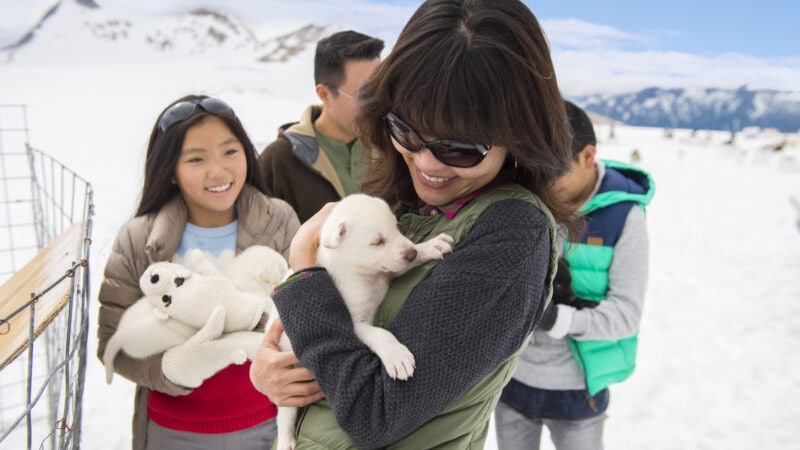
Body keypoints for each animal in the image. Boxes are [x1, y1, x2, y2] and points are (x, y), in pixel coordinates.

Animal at [270, 193, 454, 450]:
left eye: (396, 227)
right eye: (377, 242)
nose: (411, 254)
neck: (364, 275)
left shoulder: (389, 272)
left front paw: (430, 246)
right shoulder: (353, 325)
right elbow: (380, 334)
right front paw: (397, 357)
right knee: (285, 414)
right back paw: (286, 440)